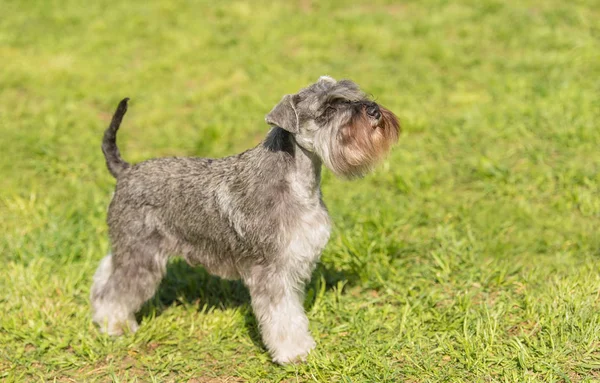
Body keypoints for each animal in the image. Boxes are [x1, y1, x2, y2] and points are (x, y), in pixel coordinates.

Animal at [91, 76, 400, 366]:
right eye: (329, 108)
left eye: (352, 94)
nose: (373, 110)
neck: (298, 183)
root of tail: (125, 171)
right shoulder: (271, 271)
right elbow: (282, 316)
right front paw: (294, 353)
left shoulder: (293, 262)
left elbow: (293, 312)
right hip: (141, 253)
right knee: (117, 291)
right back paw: (113, 325)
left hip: (129, 247)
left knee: (106, 269)